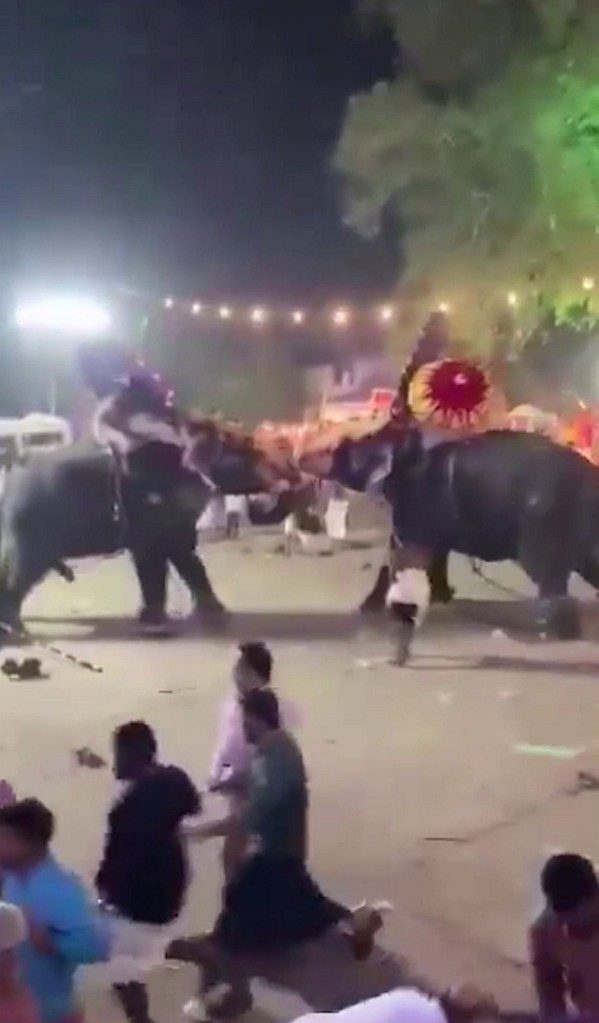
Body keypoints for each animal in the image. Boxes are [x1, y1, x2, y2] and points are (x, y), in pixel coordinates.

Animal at [0, 421, 298, 630]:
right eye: (252, 451)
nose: (291, 477)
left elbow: (162, 555)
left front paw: (152, 618)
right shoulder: (155, 505)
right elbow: (173, 552)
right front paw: (213, 617)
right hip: (34, 523)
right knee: (25, 566)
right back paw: (13, 627)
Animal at [298, 427, 599, 634]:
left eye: (340, 448)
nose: (299, 457)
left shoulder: (415, 508)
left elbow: (399, 555)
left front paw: (372, 607)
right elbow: (435, 557)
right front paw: (442, 596)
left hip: (543, 523)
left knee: (550, 577)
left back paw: (554, 631)